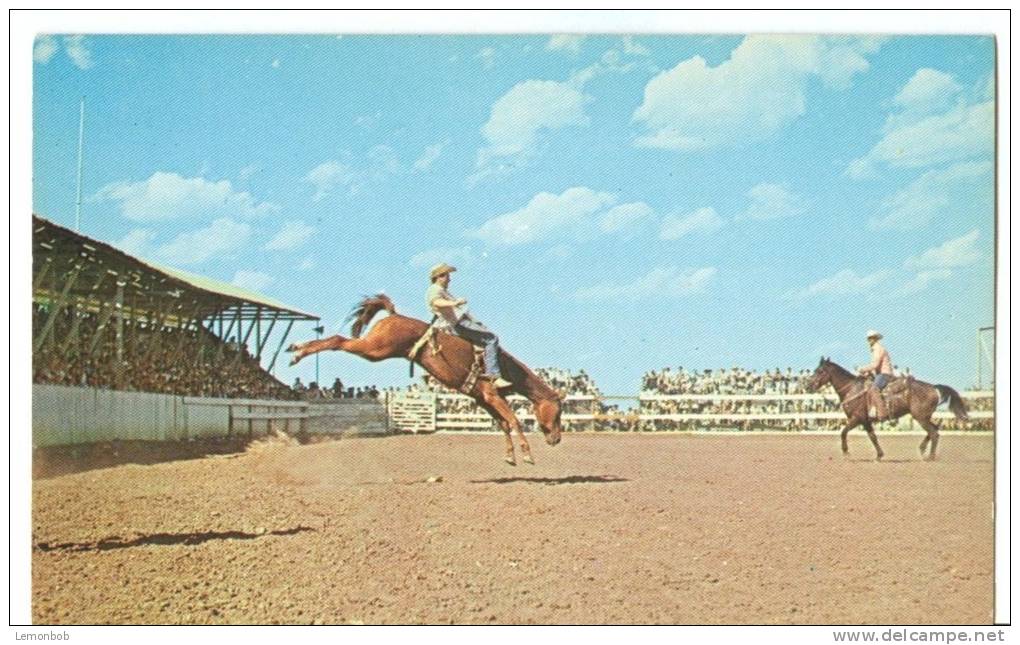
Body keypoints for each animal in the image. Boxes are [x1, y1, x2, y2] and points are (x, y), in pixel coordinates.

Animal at [283, 293, 563, 465]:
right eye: (559, 412)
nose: (557, 439)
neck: (505, 367)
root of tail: (393, 315)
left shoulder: (483, 399)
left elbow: (504, 424)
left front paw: (511, 457)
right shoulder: (491, 394)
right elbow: (514, 420)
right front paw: (527, 455)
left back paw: (294, 349)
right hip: (375, 349)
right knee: (338, 341)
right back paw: (297, 352)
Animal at [807, 357, 966, 459]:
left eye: (820, 371)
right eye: (815, 369)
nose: (809, 385)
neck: (852, 389)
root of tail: (933, 387)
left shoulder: (857, 418)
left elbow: (843, 432)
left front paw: (846, 452)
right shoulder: (866, 421)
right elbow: (873, 437)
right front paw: (879, 455)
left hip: (920, 417)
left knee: (934, 433)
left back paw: (930, 456)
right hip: (924, 417)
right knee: (935, 430)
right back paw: (922, 450)